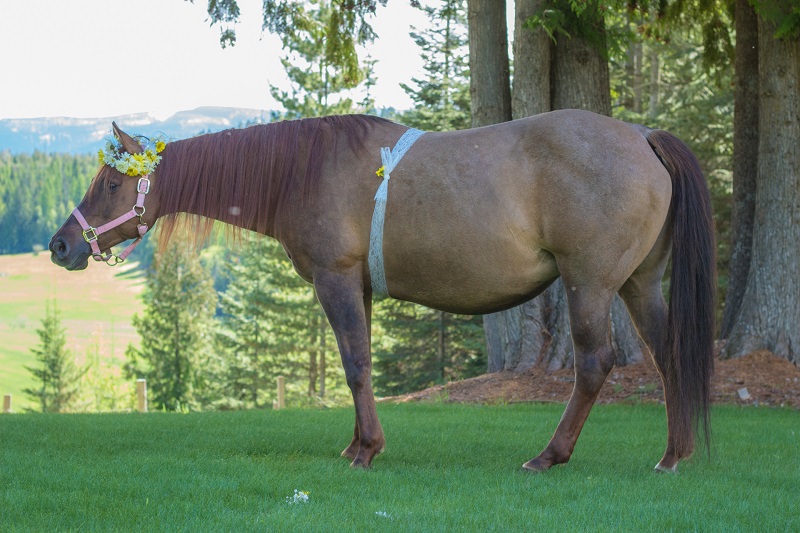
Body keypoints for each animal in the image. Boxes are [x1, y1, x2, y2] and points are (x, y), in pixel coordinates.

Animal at [49, 110, 715, 473]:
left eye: (110, 183)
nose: (61, 245)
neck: (303, 170)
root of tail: (643, 136)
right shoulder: (360, 288)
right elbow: (360, 362)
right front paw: (355, 444)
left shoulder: (337, 279)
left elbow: (355, 364)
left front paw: (367, 449)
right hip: (638, 282)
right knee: (668, 354)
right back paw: (674, 455)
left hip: (590, 283)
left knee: (596, 362)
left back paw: (549, 455)